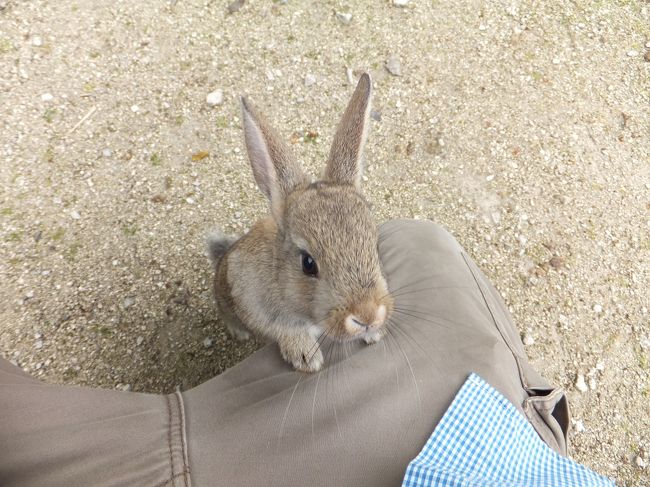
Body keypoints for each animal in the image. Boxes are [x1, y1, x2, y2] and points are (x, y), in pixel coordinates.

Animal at [209, 74, 390, 374]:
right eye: (308, 264)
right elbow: (280, 328)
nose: (367, 315)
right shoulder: (249, 298)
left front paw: (375, 333)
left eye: (375, 247)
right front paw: (305, 356)